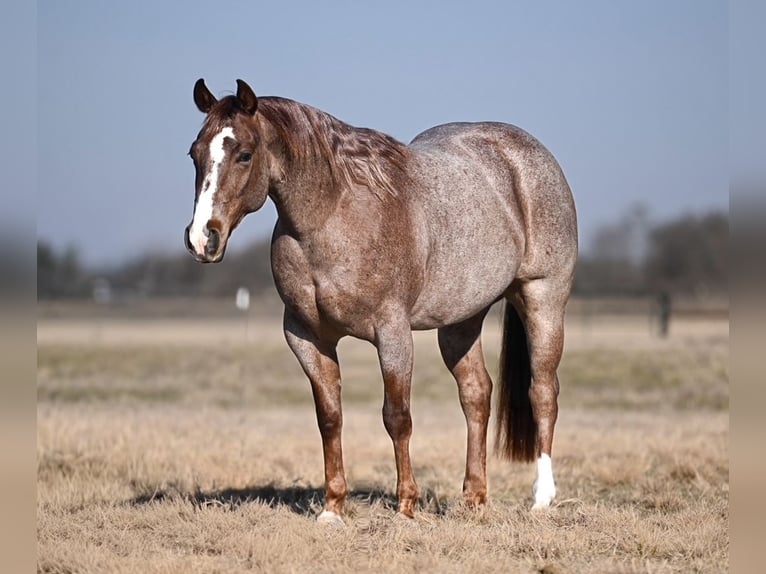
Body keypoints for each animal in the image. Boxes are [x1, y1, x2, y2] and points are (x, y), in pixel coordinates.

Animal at [184, 79, 577, 524]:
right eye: (195, 153)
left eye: (244, 154)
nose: (202, 238)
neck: (331, 217)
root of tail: (527, 153)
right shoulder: (306, 337)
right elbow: (329, 418)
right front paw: (333, 507)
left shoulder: (392, 332)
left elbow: (397, 417)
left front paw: (406, 505)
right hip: (461, 321)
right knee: (476, 394)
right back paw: (473, 498)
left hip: (542, 299)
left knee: (542, 392)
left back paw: (541, 498)